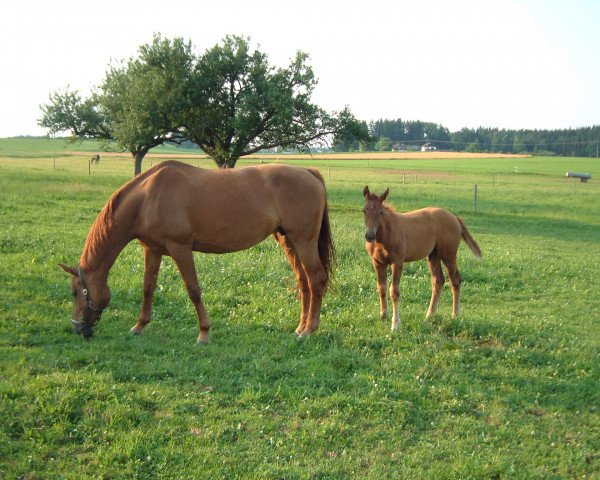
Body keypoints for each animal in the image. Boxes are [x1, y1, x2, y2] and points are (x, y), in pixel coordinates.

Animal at [59, 160, 336, 342]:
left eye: (75, 292)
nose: (77, 328)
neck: (148, 197)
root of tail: (309, 172)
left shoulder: (180, 248)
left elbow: (193, 289)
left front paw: (204, 332)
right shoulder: (153, 250)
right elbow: (148, 288)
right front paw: (139, 326)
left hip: (303, 242)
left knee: (316, 279)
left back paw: (309, 331)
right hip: (288, 241)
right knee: (303, 281)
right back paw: (300, 327)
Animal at [360, 186, 482, 332]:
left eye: (381, 212)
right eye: (364, 210)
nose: (369, 235)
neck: (384, 236)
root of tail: (455, 218)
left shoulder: (397, 262)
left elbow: (394, 291)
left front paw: (395, 324)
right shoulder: (378, 263)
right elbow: (381, 289)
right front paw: (383, 317)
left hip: (449, 255)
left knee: (455, 281)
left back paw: (455, 315)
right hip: (433, 256)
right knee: (438, 281)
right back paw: (429, 316)